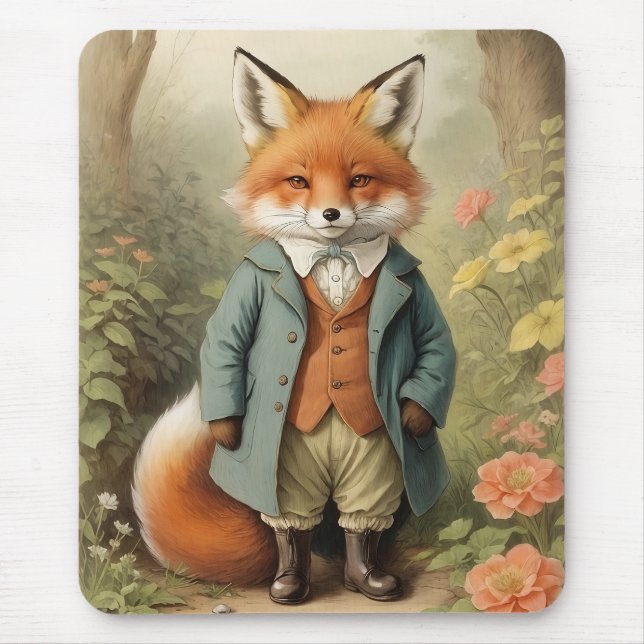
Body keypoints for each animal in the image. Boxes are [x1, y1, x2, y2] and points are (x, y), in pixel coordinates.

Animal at [132, 48, 456, 604]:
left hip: (372, 452)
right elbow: (225, 343)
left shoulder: (417, 294)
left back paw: (364, 577)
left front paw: (415, 414)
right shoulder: (246, 288)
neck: (333, 257)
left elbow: (435, 344)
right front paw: (225, 427)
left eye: (358, 180)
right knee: (291, 519)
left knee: (360, 514)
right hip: (287, 463)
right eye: (299, 181)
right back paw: (290, 580)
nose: (330, 214)